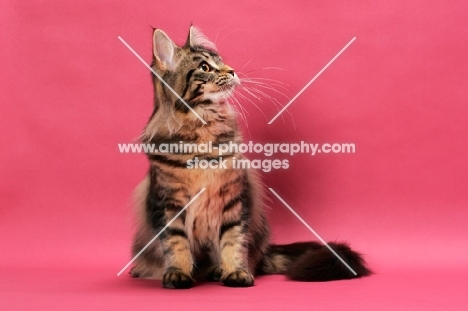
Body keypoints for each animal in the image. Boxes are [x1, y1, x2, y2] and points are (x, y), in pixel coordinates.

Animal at [130, 26, 372, 290]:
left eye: (221, 61)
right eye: (205, 67)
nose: (232, 71)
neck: (201, 128)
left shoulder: (234, 199)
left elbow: (232, 241)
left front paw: (236, 272)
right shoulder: (167, 202)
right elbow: (175, 243)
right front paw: (178, 274)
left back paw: (216, 271)